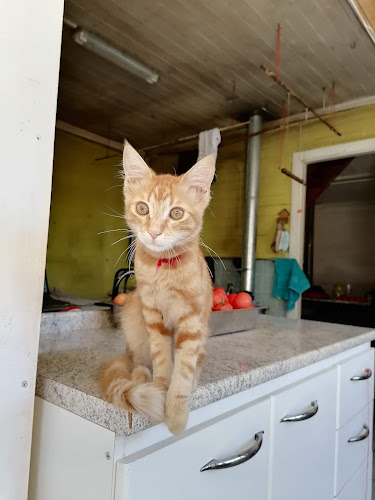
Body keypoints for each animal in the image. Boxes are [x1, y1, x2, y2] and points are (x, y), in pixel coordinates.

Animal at [100, 141, 216, 434]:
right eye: (143, 209)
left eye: (176, 213)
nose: (153, 232)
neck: (164, 270)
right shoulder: (152, 315)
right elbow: (162, 357)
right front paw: (161, 388)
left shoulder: (192, 321)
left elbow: (183, 366)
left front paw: (176, 410)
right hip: (132, 312)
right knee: (136, 358)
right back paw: (141, 374)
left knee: (198, 360)